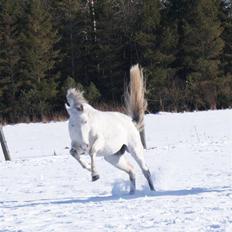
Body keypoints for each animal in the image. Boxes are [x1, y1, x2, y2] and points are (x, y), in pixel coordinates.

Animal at [65, 65, 155, 194]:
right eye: (71, 124)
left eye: (85, 121)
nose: (84, 145)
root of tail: (132, 123)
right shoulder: (77, 146)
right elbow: (73, 153)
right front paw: (88, 167)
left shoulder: (99, 141)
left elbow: (92, 151)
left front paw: (95, 175)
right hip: (113, 157)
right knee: (131, 170)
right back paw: (131, 193)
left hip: (135, 150)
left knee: (145, 171)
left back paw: (153, 191)